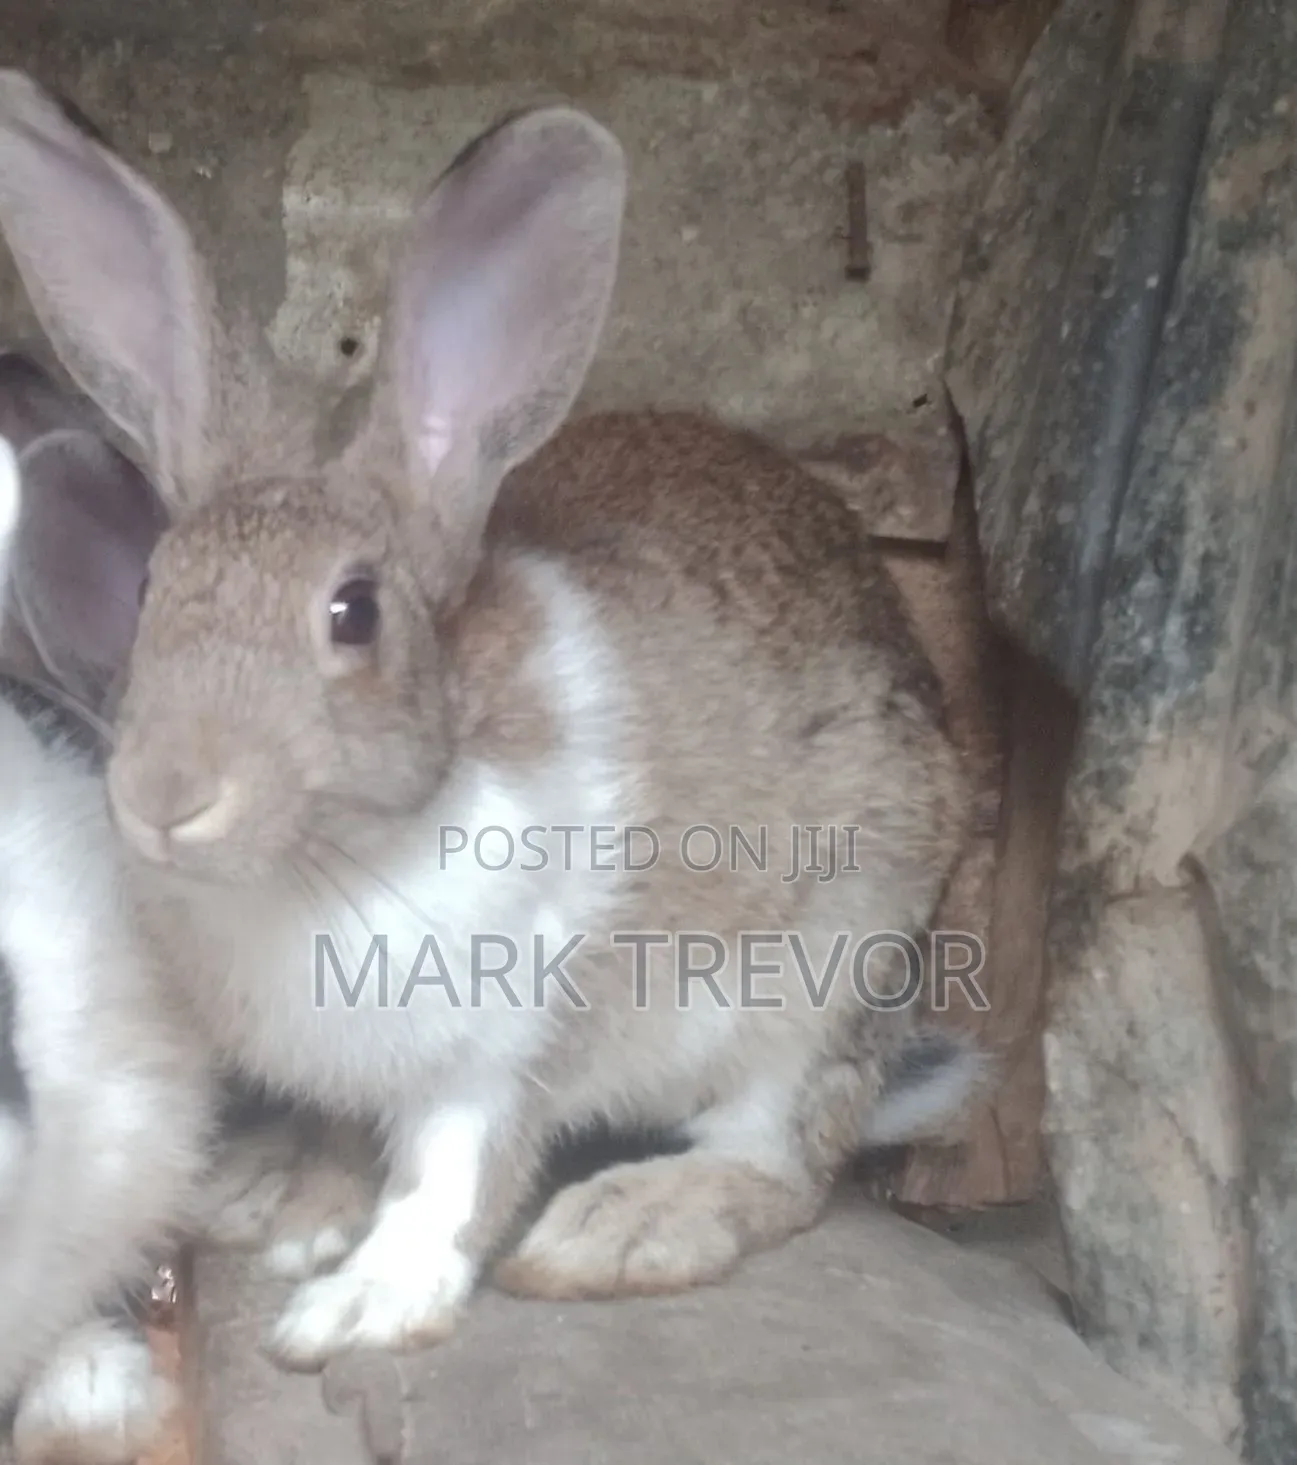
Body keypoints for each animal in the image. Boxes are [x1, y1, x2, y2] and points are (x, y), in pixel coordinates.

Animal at [0, 71, 989, 1374]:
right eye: (153, 589)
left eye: (354, 613)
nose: (168, 798)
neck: (331, 862)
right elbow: (345, 1143)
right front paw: (288, 1210)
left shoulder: (507, 1044)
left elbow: (451, 1181)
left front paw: (357, 1308)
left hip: (833, 960)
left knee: (781, 1156)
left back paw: (624, 1227)